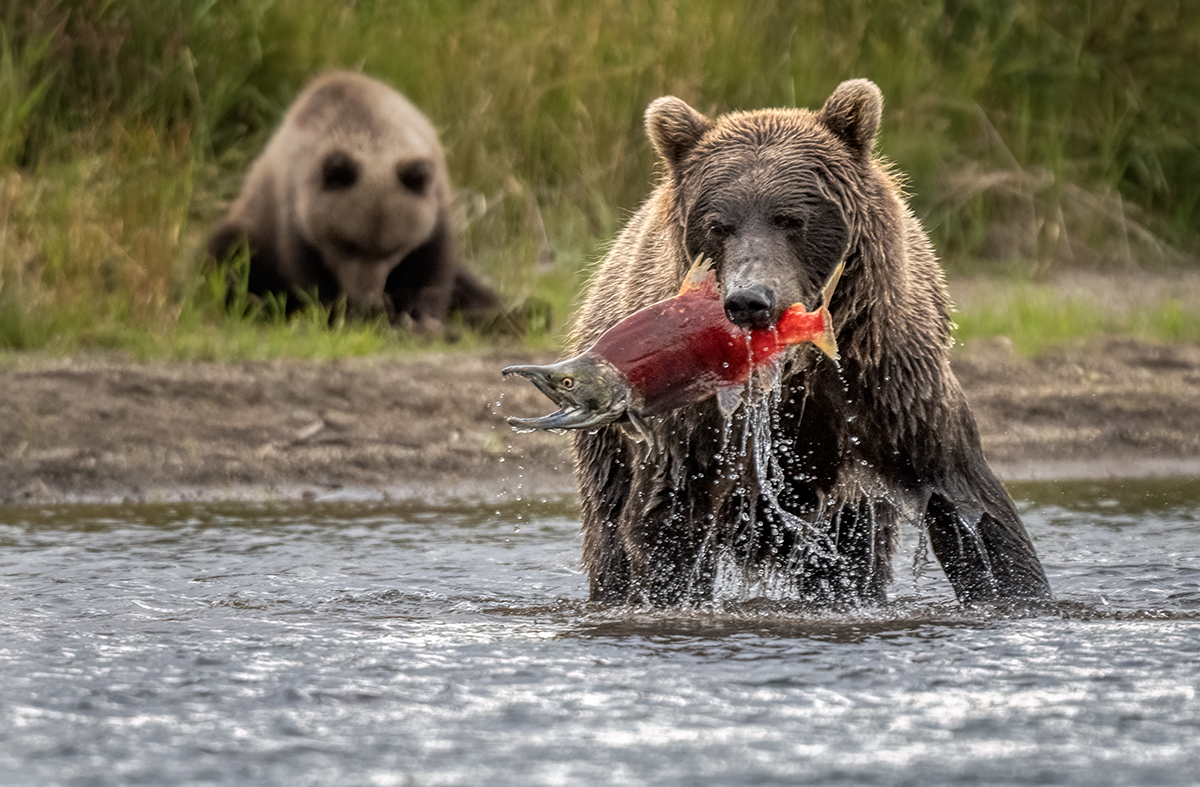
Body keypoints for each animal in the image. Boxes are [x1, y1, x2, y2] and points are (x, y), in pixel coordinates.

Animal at [208, 70, 500, 329]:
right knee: (232, 255)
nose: (367, 299)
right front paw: (343, 314)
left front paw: (418, 315)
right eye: (348, 244)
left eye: (393, 249)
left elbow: (430, 270)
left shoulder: (432, 214)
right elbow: (311, 279)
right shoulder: (296, 217)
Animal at [570, 79, 1052, 608]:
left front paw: (1021, 597)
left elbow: (970, 503)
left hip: (849, 510)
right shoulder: (692, 412)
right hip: (610, 446)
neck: (794, 365)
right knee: (610, 535)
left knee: (849, 561)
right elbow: (669, 518)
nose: (749, 300)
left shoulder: (886, 380)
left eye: (791, 219)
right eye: (719, 224)